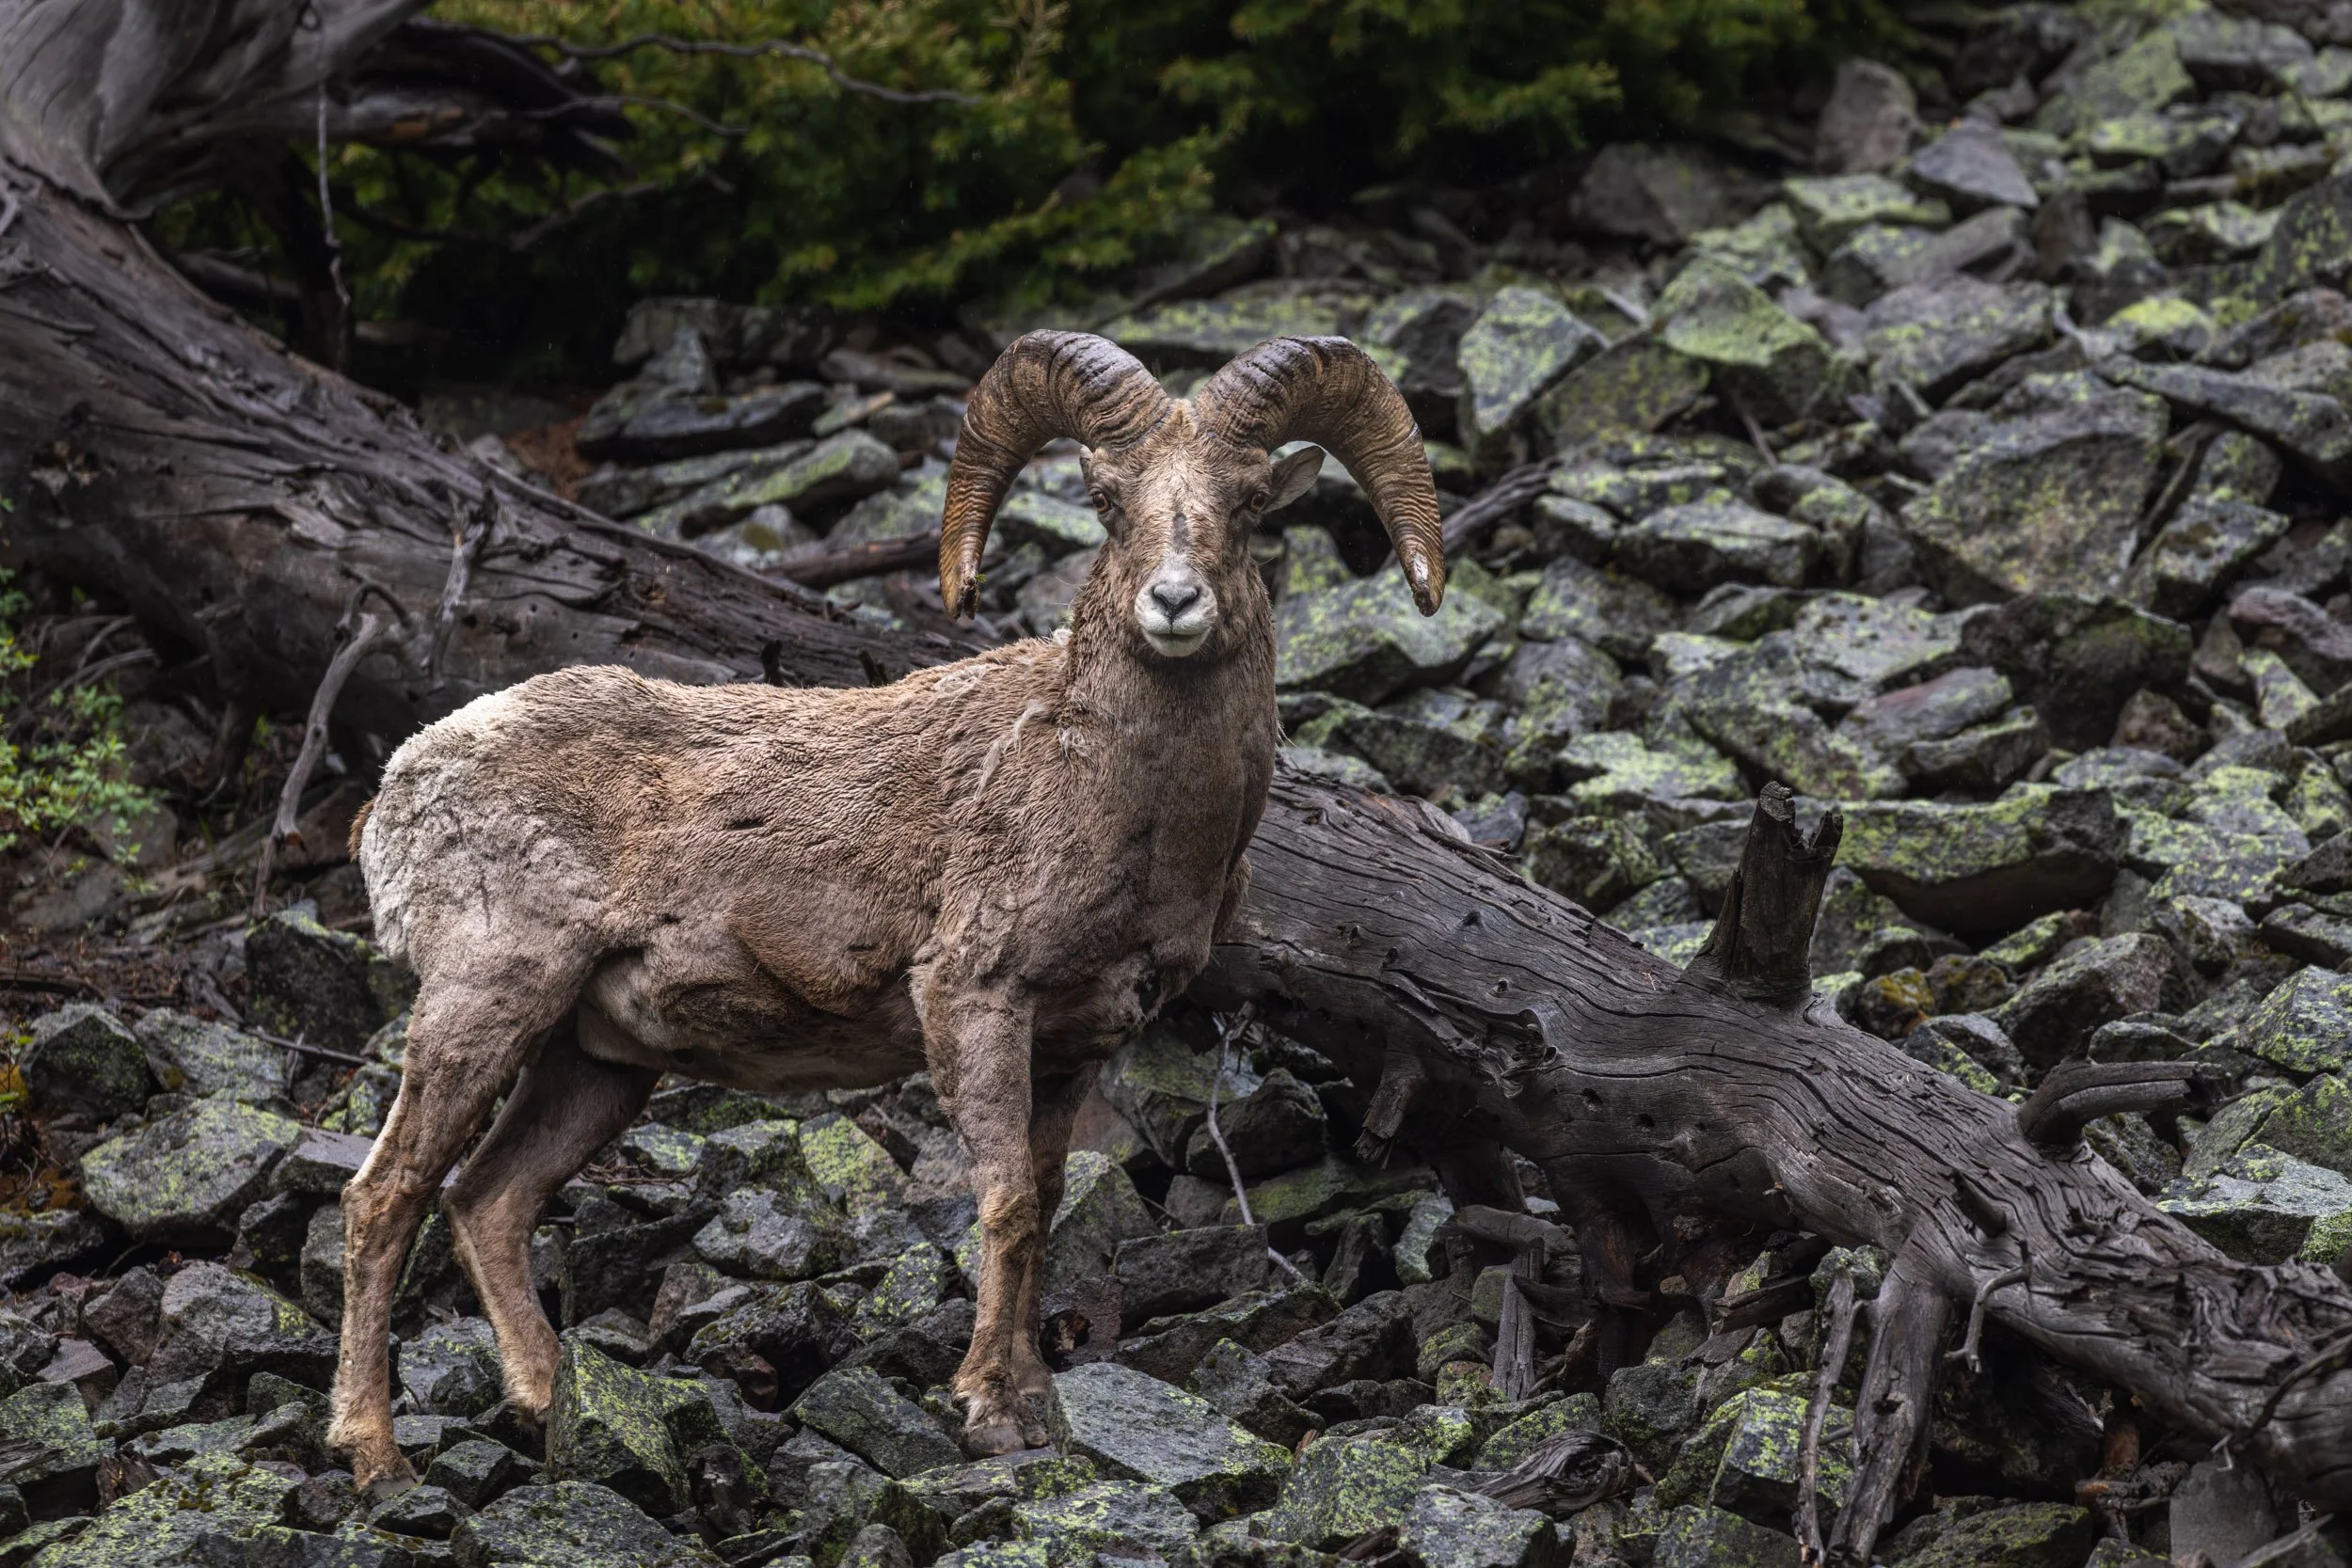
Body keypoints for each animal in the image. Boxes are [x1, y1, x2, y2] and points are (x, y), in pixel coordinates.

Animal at [326, 331, 1445, 1495]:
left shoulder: (1071, 1049)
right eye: (1106, 499)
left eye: (1248, 501)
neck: (1121, 801)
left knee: (486, 1200)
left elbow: (1046, 1200)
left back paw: (545, 1398)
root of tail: (404, 780)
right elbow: (1004, 1201)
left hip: (594, 1064)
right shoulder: (973, 996)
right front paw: (984, 1411)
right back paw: (374, 1453)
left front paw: (1033, 1401)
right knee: (384, 1197)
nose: (1173, 604)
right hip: (486, 1000)